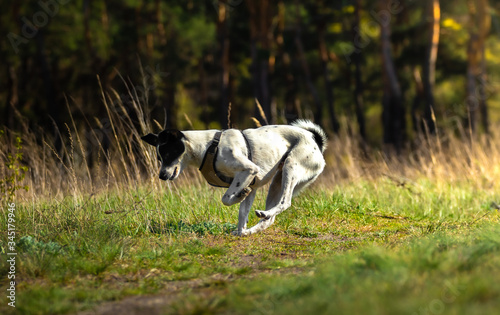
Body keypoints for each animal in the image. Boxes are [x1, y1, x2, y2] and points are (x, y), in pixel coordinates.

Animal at [142, 119, 328, 236]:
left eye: (168, 153)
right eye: (159, 157)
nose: (161, 176)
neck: (207, 147)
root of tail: (314, 138)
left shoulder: (250, 170)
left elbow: (226, 199)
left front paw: (238, 196)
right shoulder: (252, 184)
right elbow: (242, 214)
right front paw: (240, 232)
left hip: (290, 167)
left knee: (285, 202)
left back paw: (263, 214)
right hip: (277, 181)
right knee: (269, 220)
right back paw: (252, 228)